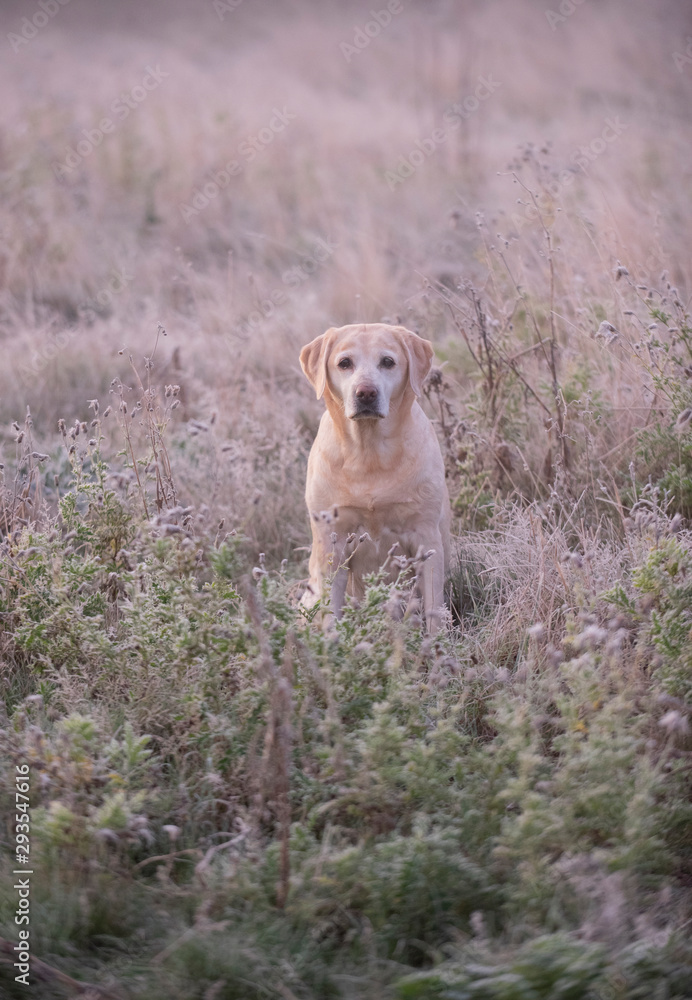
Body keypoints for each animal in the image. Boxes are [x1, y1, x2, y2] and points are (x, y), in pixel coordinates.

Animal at [300, 324, 452, 628]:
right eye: (344, 363)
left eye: (388, 362)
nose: (366, 392)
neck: (368, 454)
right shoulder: (332, 545)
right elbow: (330, 616)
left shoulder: (426, 539)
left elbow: (434, 610)